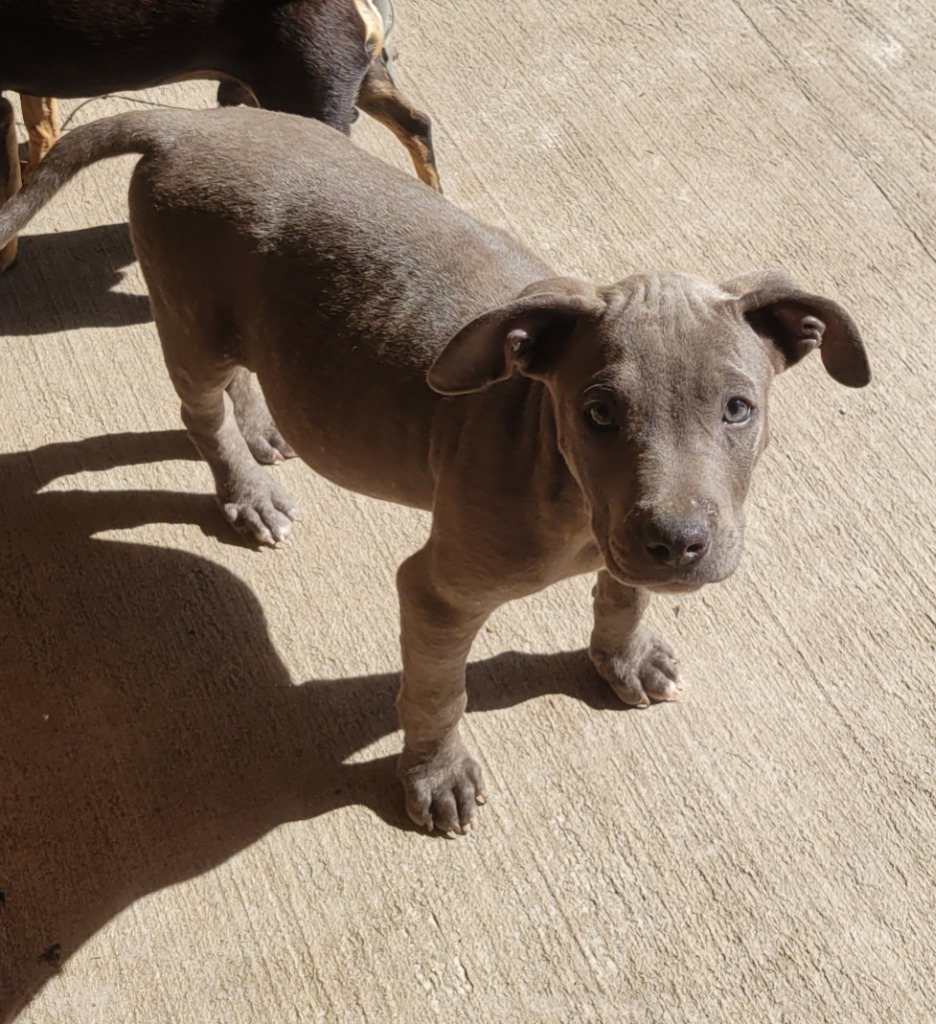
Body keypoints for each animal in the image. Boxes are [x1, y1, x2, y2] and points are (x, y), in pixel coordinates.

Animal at [0, 108, 868, 835]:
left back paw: (263, 432)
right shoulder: (437, 592)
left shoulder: (621, 546)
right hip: (191, 320)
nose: (677, 544)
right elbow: (437, 690)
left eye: (737, 408)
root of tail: (186, 121)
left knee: (246, 376)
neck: (561, 476)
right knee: (200, 410)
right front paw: (436, 775)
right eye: (597, 413)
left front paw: (624, 656)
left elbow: (622, 594)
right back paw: (246, 491)